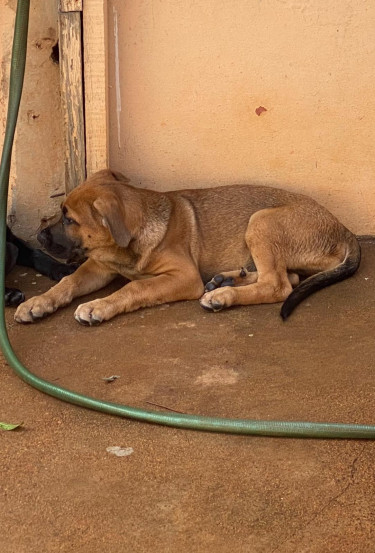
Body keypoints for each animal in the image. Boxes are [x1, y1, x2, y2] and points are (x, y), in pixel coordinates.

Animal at [13, 168, 362, 324]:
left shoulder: (184, 276)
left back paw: (222, 295)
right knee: (287, 277)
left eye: (68, 219)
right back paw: (225, 280)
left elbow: (135, 287)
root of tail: (344, 229)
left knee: (277, 285)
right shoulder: (99, 265)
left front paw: (99, 305)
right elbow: (69, 281)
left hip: (261, 221)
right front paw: (38, 302)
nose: (38, 237)